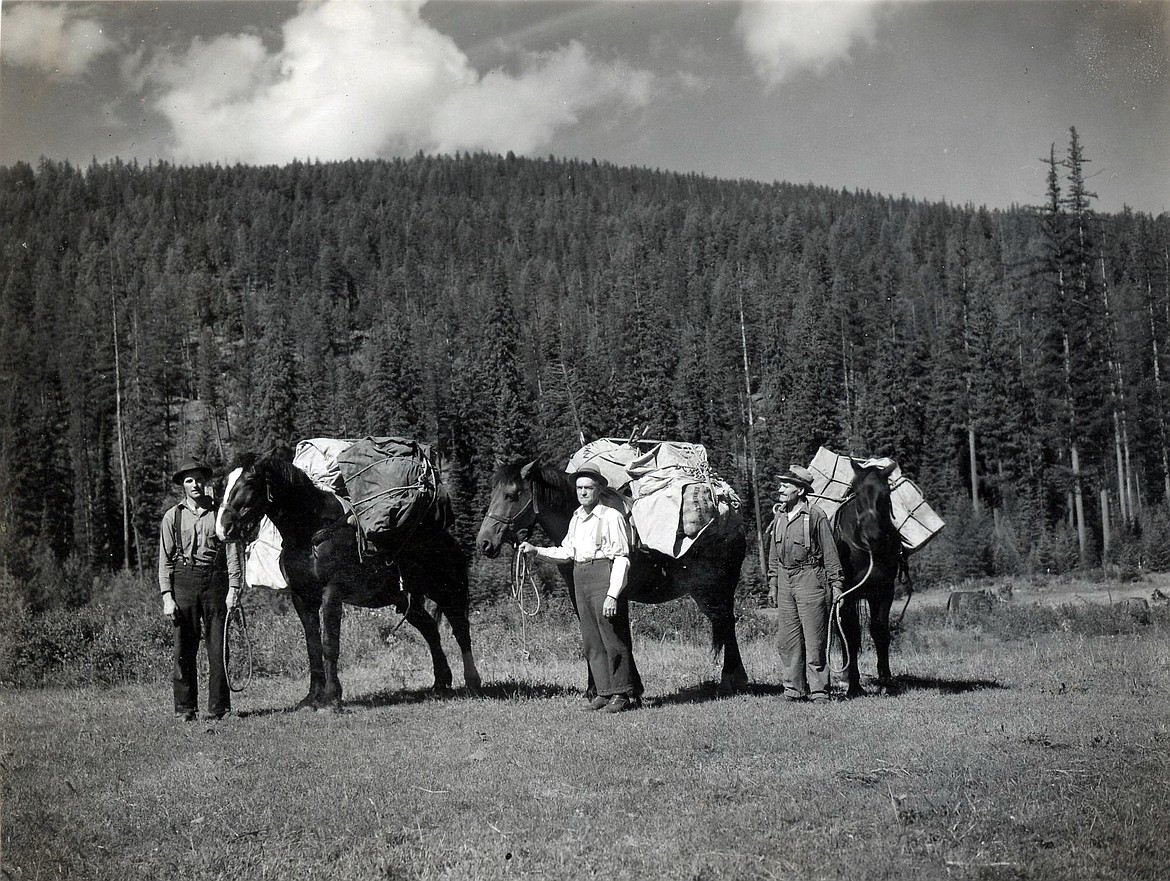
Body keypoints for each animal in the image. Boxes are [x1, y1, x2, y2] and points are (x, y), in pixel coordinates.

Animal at [215, 453, 479, 706]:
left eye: (250, 481)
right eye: (224, 483)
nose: (223, 528)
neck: (310, 532)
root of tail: (446, 537)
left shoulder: (331, 593)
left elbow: (329, 644)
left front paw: (332, 696)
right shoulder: (302, 598)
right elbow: (313, 646)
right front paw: (312, 697)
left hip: (447, 590)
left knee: (460, 629)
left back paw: (472, 681)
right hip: (405, 600)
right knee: (430, 628)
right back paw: (441, 682)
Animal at [475, 456, 748, 692]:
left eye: (511, 495)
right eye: (492, 493)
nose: (484, 542)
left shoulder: (616, 594)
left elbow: (619, 636)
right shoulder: (579, 594)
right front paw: (604, 689)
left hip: (717, 589)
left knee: (727, 623)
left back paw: (732, 679)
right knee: (725, 623)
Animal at [833, 460, 912, 692]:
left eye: (886, 494)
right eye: (857, 493)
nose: (872, 535)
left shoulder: (884, 591)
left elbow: (880, 631)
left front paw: (885, 681)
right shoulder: (847, 595)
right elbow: (851, 634)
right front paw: (854, 685)